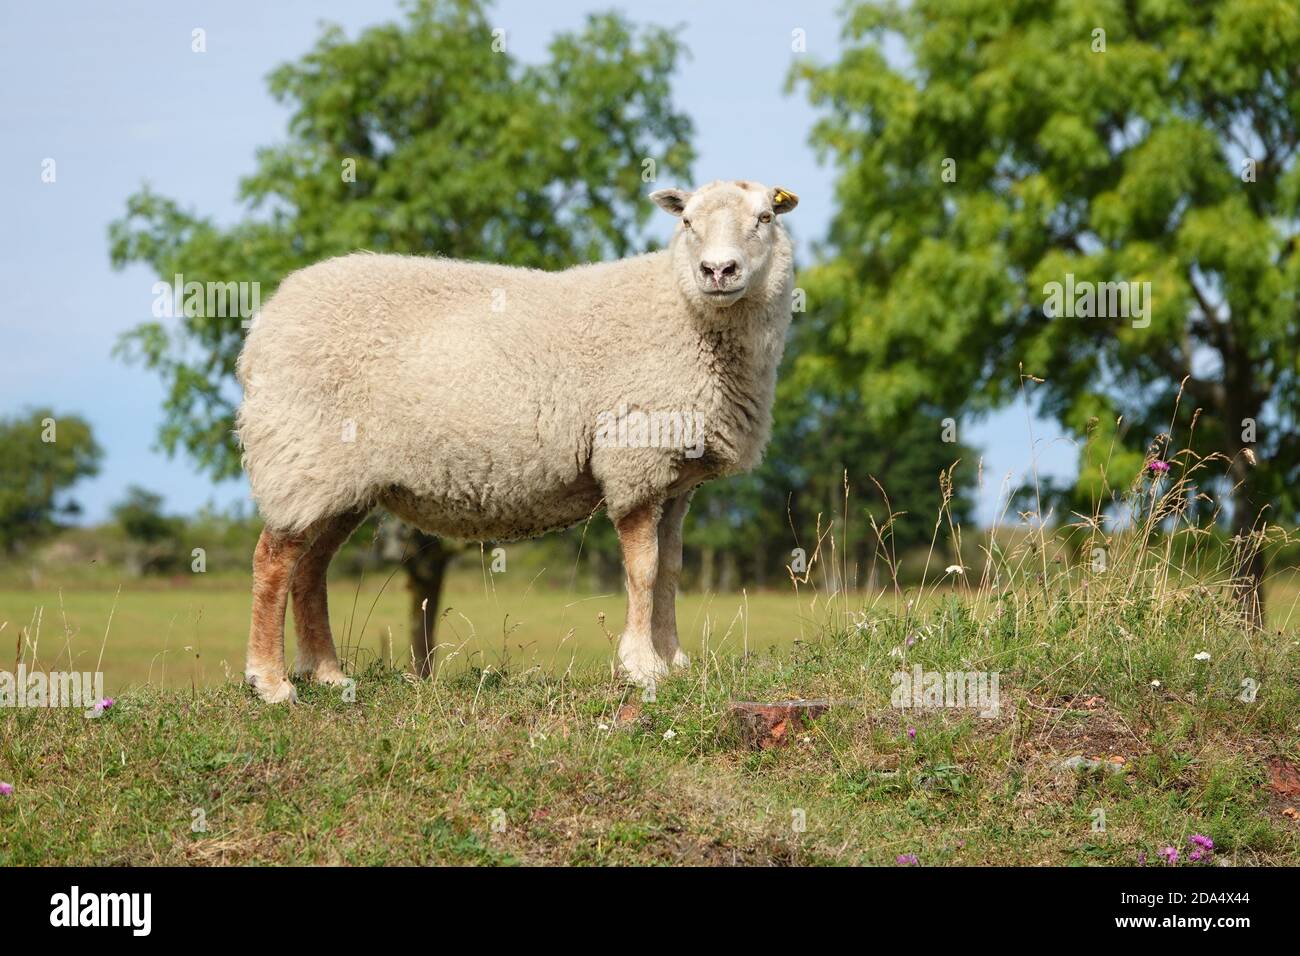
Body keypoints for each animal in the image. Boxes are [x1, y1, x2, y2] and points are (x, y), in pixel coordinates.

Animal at [237, 179, 795, 702]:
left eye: (765, 218)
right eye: (687, 222)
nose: (717, 271)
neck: (684, 313)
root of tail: (266, 322)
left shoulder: (677, 477)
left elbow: (672, 569)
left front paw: (674, 660)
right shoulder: (635, 459)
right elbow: (644, 569)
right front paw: (642, 666)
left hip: (338, 479)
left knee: (311, 568)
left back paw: (328, 675)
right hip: (302, 450)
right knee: (273, 561)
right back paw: (271, 682)